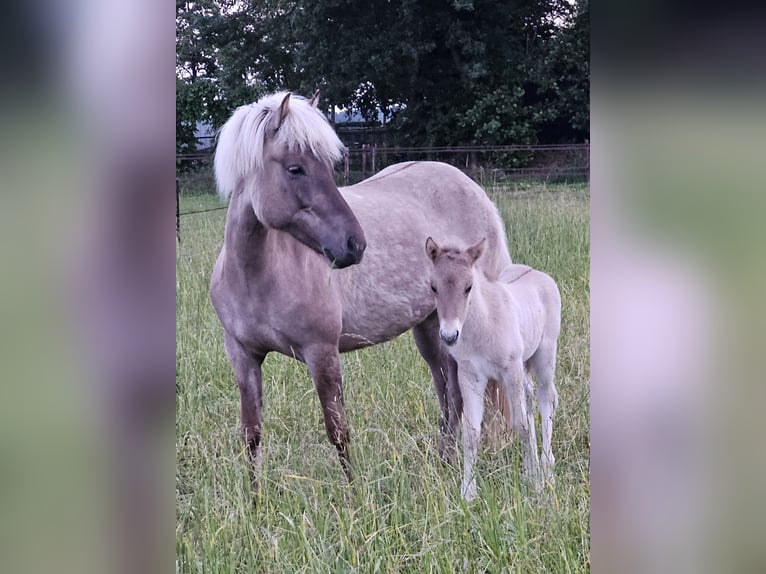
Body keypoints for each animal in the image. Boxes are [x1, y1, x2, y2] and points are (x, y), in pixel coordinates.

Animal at [210, 93, 512, 482]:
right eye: (295, 168)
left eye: (329, 166)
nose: (355, 245)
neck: (257, 276)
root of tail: (474, 190)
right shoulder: (242, 356)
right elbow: (252, 433)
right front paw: (255, 495)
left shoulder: (322, 353)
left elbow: (337, 430)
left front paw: (352, 492)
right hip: (432, 328)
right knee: (449, 396)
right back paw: (443, 464)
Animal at [426, 237, 564, 500]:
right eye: (433, 287)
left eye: (468, 287)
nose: (449, 336)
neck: (483, 324)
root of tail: (537, 273)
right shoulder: (470, 375)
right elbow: (471, 433)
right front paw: (468, 492)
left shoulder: (510, 370)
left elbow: (520, 424)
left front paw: (535, 484)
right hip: (523, 365)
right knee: (530, 396)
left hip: (544, 355)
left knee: (546, 398)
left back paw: (547, 468)